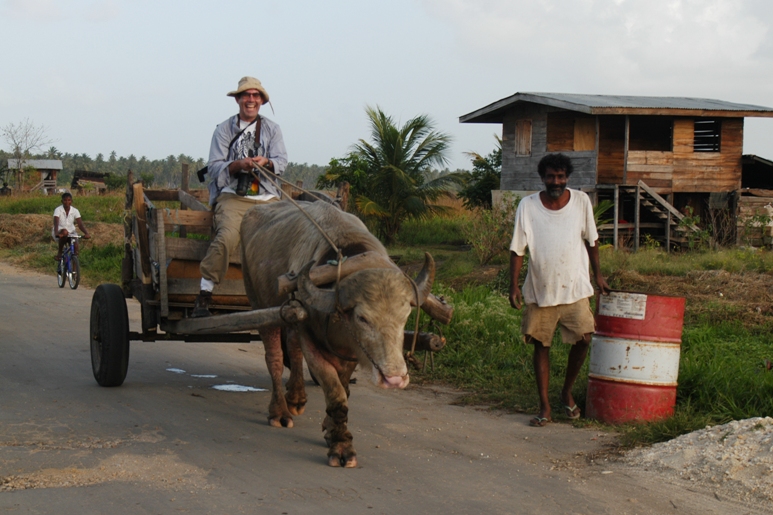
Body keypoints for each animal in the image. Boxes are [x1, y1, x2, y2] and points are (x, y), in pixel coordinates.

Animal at [240, 201, 434, 468]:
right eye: (362, 318)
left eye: (405, 316)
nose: (394, 379)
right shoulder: (312, 342)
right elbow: (336, 394)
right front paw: (341, 445)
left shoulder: (350, 353)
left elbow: (343, 385)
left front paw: (330, 429)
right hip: (259, 303)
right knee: (275, 358)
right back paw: (279, 411)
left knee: (292, 347)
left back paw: (296, 397)